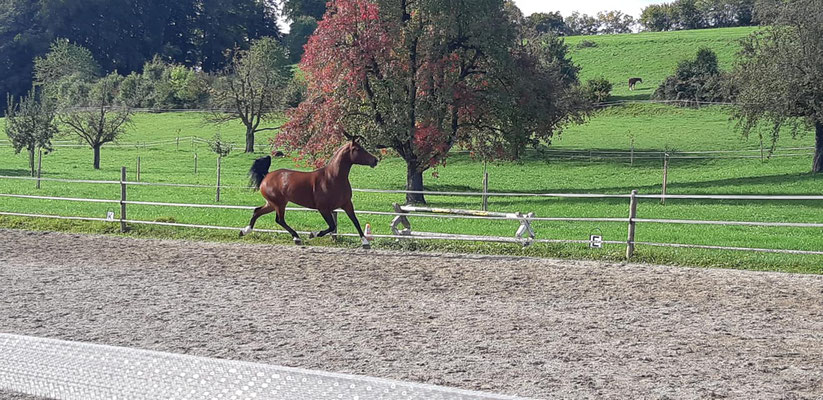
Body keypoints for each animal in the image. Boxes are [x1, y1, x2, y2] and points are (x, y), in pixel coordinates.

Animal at [240, 139, 378, 248]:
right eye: (358, 149)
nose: (375, 160)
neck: (332, 178)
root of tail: (267, 175)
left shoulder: (347, 204)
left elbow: (355, 222)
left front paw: (365, 242)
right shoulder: (323, 208)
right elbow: (332, 226)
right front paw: (313, 234)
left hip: (272, 203)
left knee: (257, 211)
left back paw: (244, 231)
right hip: (279, 204)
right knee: (279, 220)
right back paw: (297, 238)